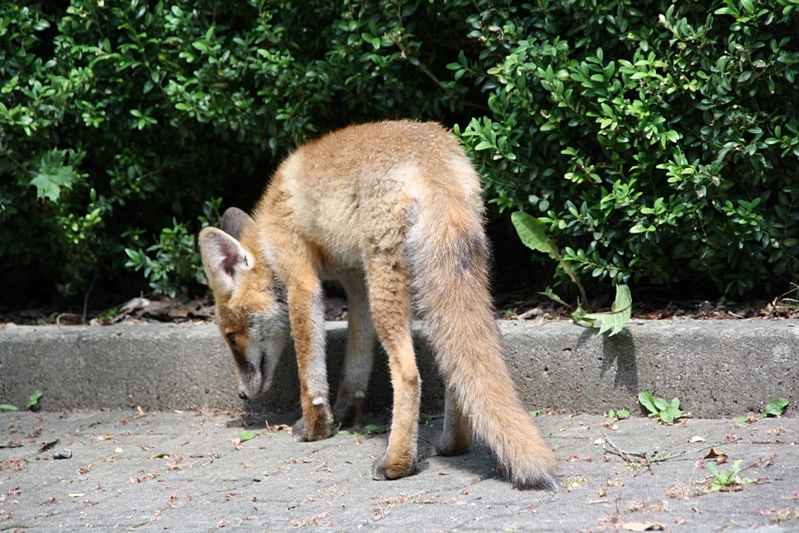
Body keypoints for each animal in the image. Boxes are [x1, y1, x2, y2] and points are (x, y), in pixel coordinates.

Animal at [198, 120, 557, 490]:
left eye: (230, 336)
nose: (242, 395)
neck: (270, 231)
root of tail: (433, 156)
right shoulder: (357, 284)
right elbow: (355, 366)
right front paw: (344, 415)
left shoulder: (302, 279)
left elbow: (310, 373)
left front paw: (315, 427)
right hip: (433, 286)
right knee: (455, 365)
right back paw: (453, 444)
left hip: (388, 285)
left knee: (409, 374)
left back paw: (397, 463)